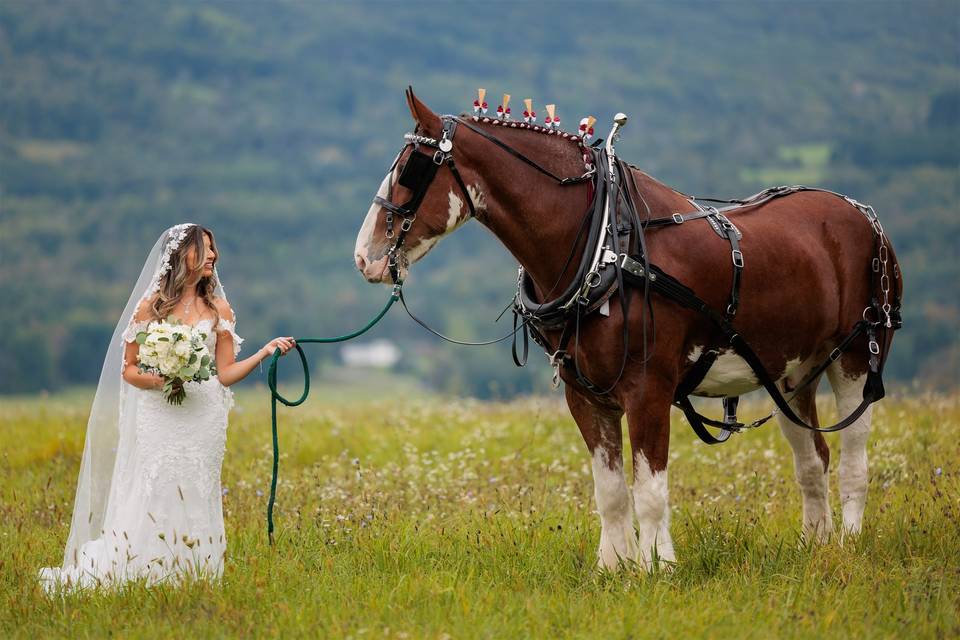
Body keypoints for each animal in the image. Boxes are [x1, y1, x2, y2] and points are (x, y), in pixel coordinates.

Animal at [354, 88, 902, 571]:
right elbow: (612, 492)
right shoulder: (585, 395)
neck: (604, 248)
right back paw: (816, 545)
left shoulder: (648, 390)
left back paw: (848, 543)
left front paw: (659, 566)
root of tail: (865, 218)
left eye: (411, 169)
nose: (364, 256)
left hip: (856, 357)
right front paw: (614, 567)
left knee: (853, 458)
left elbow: (650, 491)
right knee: (813, 460)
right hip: (791, 375)